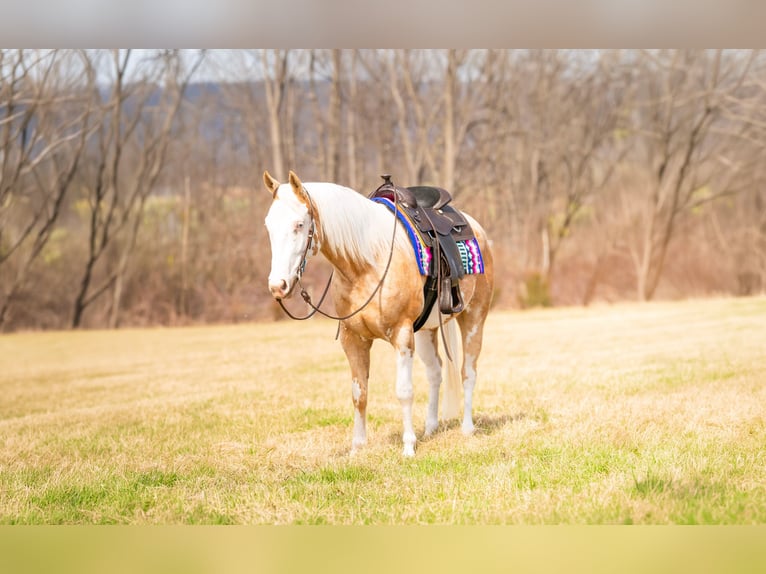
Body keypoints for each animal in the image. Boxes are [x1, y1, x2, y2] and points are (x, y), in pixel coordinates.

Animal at [263, 170, 494, 457]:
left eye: (299, 225)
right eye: (269, 226)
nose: (278, 286)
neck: (367, 262)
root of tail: (476, 228)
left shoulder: (402, 335)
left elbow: (404, 392)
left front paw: (408, 446)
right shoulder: (353, 339)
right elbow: (359, 393)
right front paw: (357, 447)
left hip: (474, 318)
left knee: (468, 372)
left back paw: (467, 428)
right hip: (426, 331)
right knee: (435, 373)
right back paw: (430, 428)